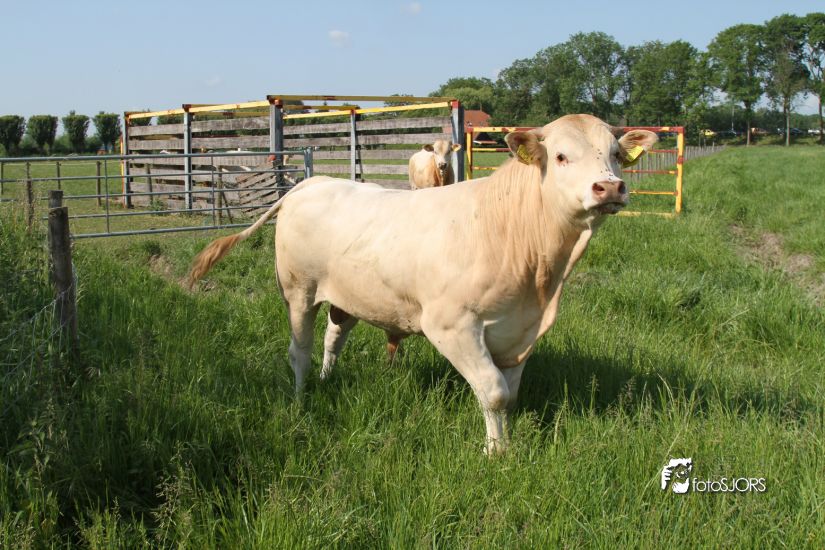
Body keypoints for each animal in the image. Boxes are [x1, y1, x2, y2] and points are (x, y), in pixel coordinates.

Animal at [187, 114, 657, 454]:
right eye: (560, 156)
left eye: (616, 153)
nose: (610, 187)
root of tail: (311, 182)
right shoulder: (452, 325)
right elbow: (493, 392)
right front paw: (496, 455)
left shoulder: (521, 332)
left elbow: (509, 394)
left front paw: (505, 445)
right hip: (299, 291)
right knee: (298, 350)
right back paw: (303, 399)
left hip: (348, 298)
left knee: (331, 340)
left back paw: (326, 379)